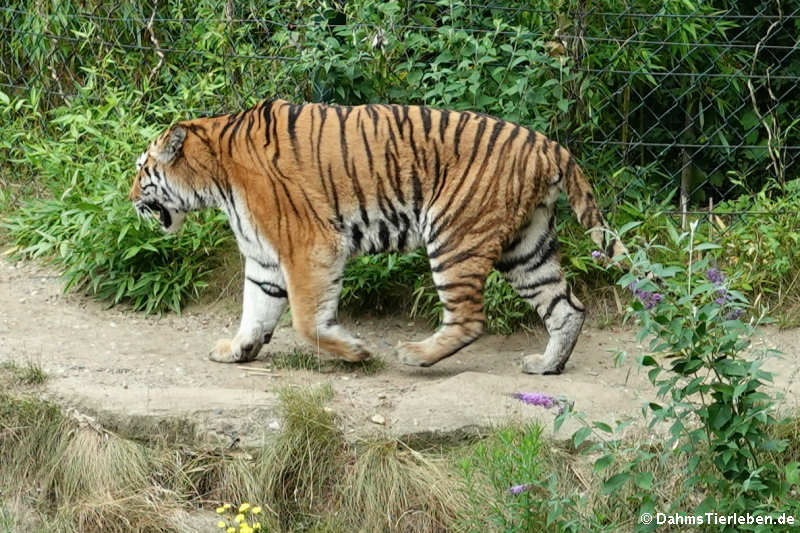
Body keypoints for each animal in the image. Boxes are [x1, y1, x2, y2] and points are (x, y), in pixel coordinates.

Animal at [131, 98, 628, 374]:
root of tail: (549, 145)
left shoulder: (309, 245)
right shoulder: (265, 258)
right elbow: (256, 308)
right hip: (525, 247)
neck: (215, 176)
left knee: (470, 318)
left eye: (141, 170)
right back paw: (546, 366)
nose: (130, 196)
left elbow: (305, 319)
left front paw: (355, 352)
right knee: (567, 307)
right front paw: (238, 350)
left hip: (454, 235)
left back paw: (416, 355)